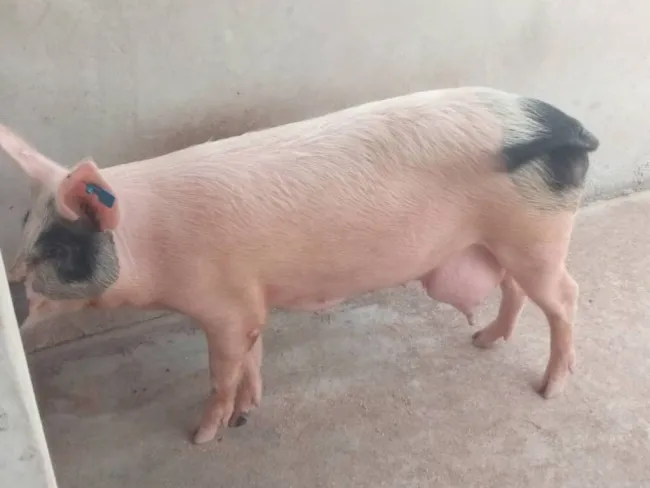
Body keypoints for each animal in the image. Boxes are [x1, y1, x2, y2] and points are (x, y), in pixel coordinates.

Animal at [0, 86, 599, 445]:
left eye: (56, 248)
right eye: (27, 223)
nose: (15, 279)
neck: (149, 246)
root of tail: (565, 124)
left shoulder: (222, 306)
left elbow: (221, 371)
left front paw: (203, 436)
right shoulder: (250, 300)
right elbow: (253, 355)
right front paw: (248, 411)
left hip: (537, 233)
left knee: (565, 297)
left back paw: (549, 389)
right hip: (501, 240)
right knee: (515, 289)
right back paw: (483, 342)